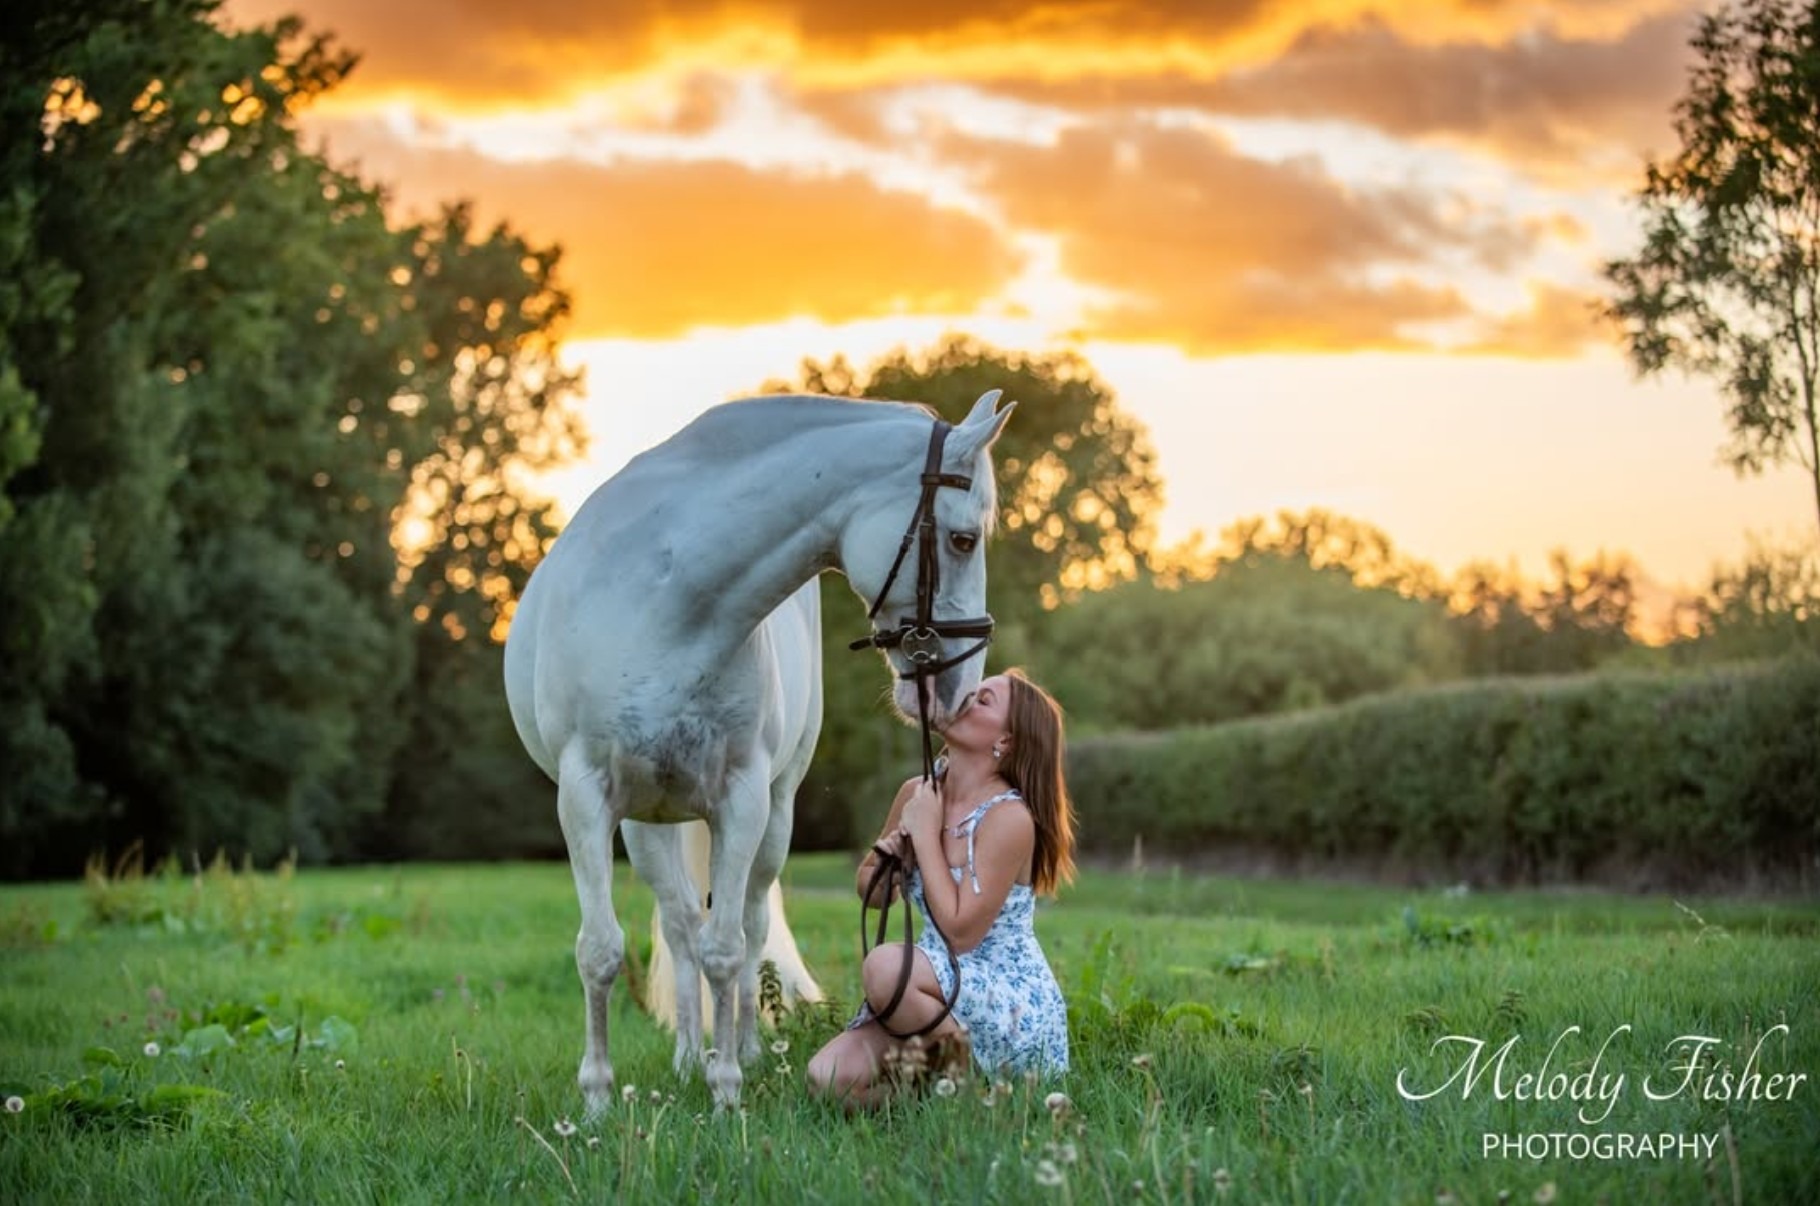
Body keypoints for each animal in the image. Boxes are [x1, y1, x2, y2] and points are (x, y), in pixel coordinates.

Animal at [503, 390, 1015, 1111]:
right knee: (681, 926)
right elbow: (601, 951)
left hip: (773, 815)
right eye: (963, 539)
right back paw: (688, 1056)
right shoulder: (584, 799)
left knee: (745, 928)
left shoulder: (741, 800)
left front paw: (726, 1093)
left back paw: (738, 1049)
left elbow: (727, 947)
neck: (668, 600)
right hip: (645, 825)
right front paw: (599, 1099)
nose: (961, 690)